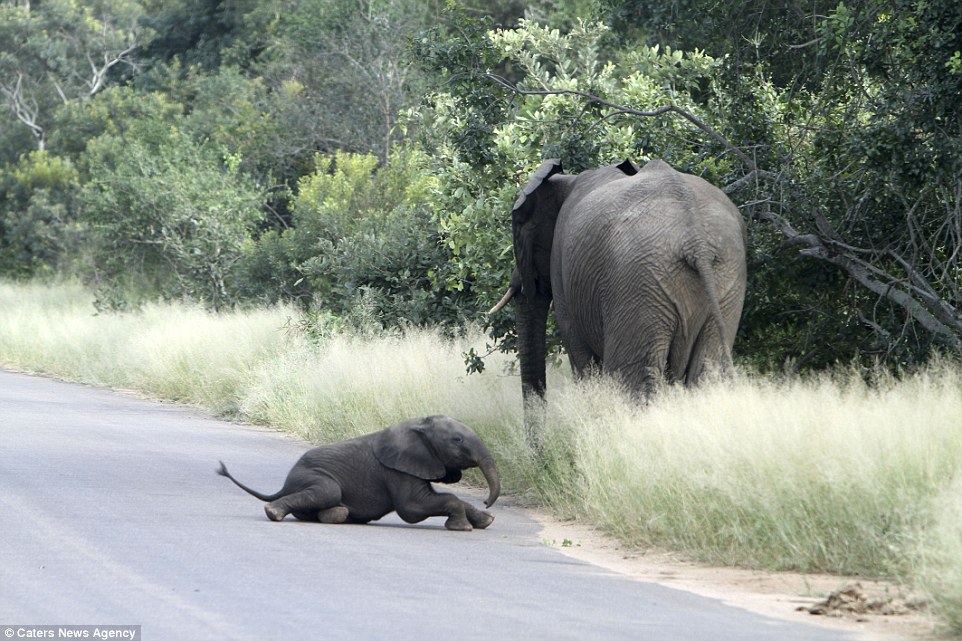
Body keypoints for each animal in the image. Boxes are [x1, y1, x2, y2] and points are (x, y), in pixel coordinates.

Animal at [217, 416, 498, 528]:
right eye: (457, 440)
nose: (487, 501)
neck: (419, 425)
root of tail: (284, 484)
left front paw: (486, 521)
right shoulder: (397, 470)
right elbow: (412, 509)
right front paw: (463, 527)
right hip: (312, 476)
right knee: (329, 491)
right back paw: (273, 513)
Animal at [492, 158, 748, 402]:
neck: (568, 179)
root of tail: (695, 241)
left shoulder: (561, 266)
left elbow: (580, 355)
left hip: (639, 281)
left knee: (633, 379)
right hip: (728, 275)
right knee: (707, 372)